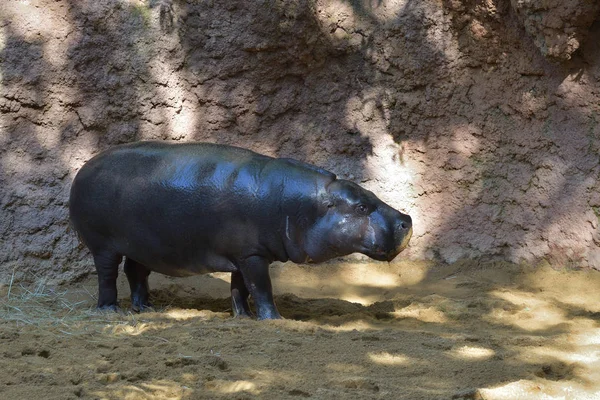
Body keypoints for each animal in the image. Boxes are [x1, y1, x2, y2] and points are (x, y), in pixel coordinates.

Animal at [68, 141, 410, 318]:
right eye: (361, 207)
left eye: (369, 195)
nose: (407, 219)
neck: (303, 206)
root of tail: (84, 168)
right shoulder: (252, 256)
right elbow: (262, 288)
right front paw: (275, 319)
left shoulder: (244, 255)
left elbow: (240, 288)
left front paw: (242, 317)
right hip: (103, 245)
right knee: (107, 276)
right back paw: (111, 311)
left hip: (142, 245)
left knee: (136, 273)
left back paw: (147, 309)